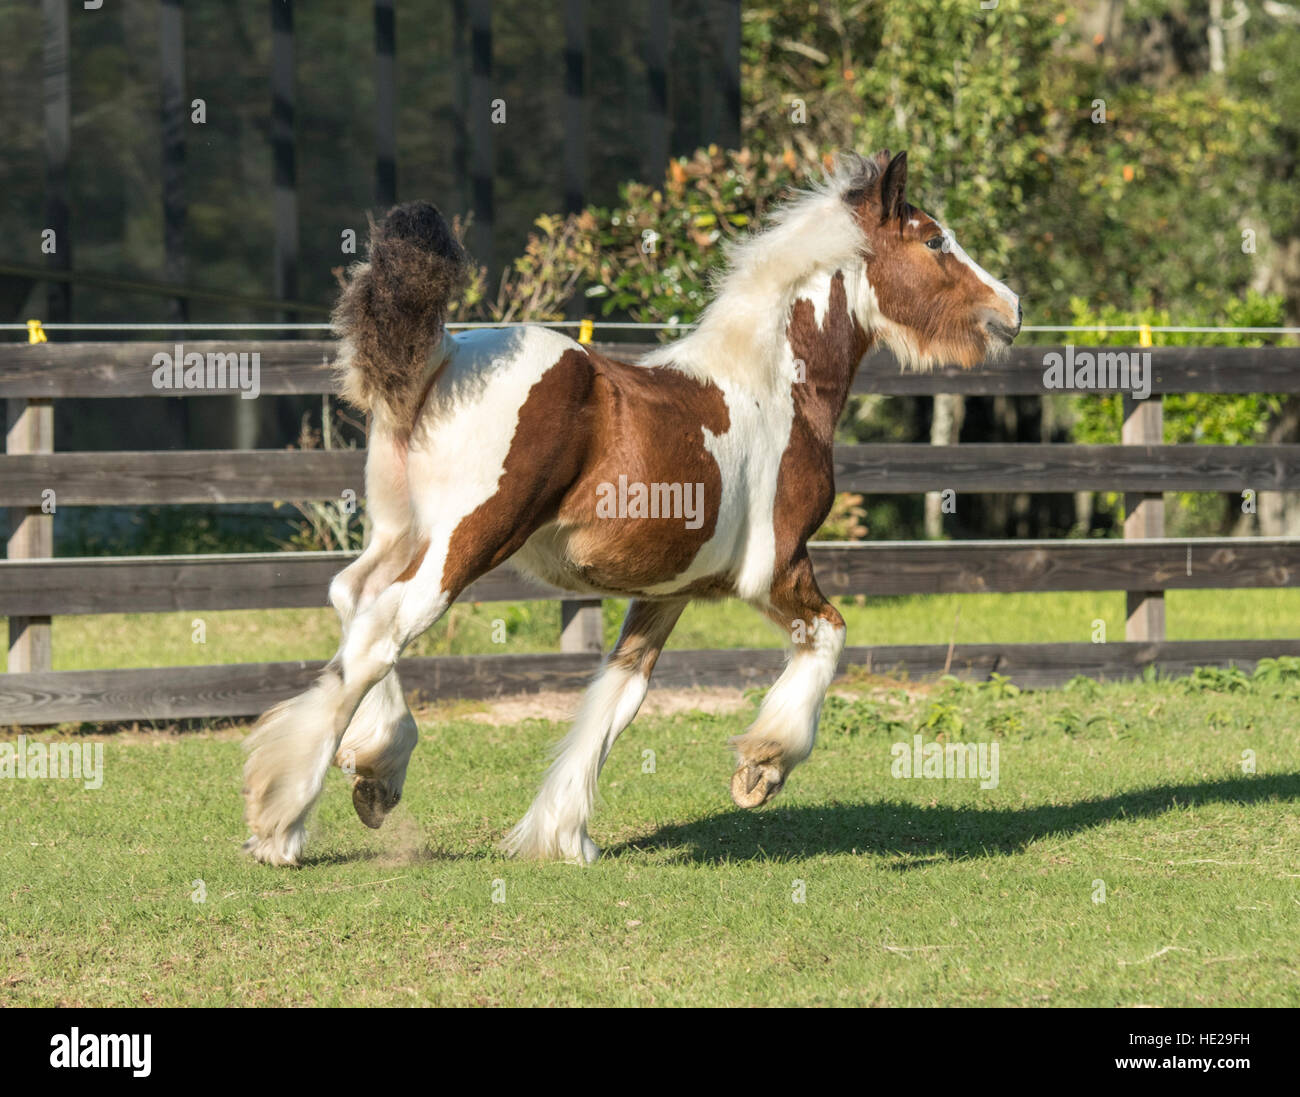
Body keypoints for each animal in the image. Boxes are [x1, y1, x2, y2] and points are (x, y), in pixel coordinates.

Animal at [241, 149, 1021, 866]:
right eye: (934, 241)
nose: (1011, 310)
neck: (777, 385)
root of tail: (441, 357)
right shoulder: (775, 570)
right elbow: (829, 636)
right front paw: (761, 768)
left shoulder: (666, 593)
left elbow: (619, 695)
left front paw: (565, 837)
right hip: (469, 537)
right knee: (383, 628)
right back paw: (283, 821)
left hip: (403, 532)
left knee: (353, 598)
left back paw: (375, 772)